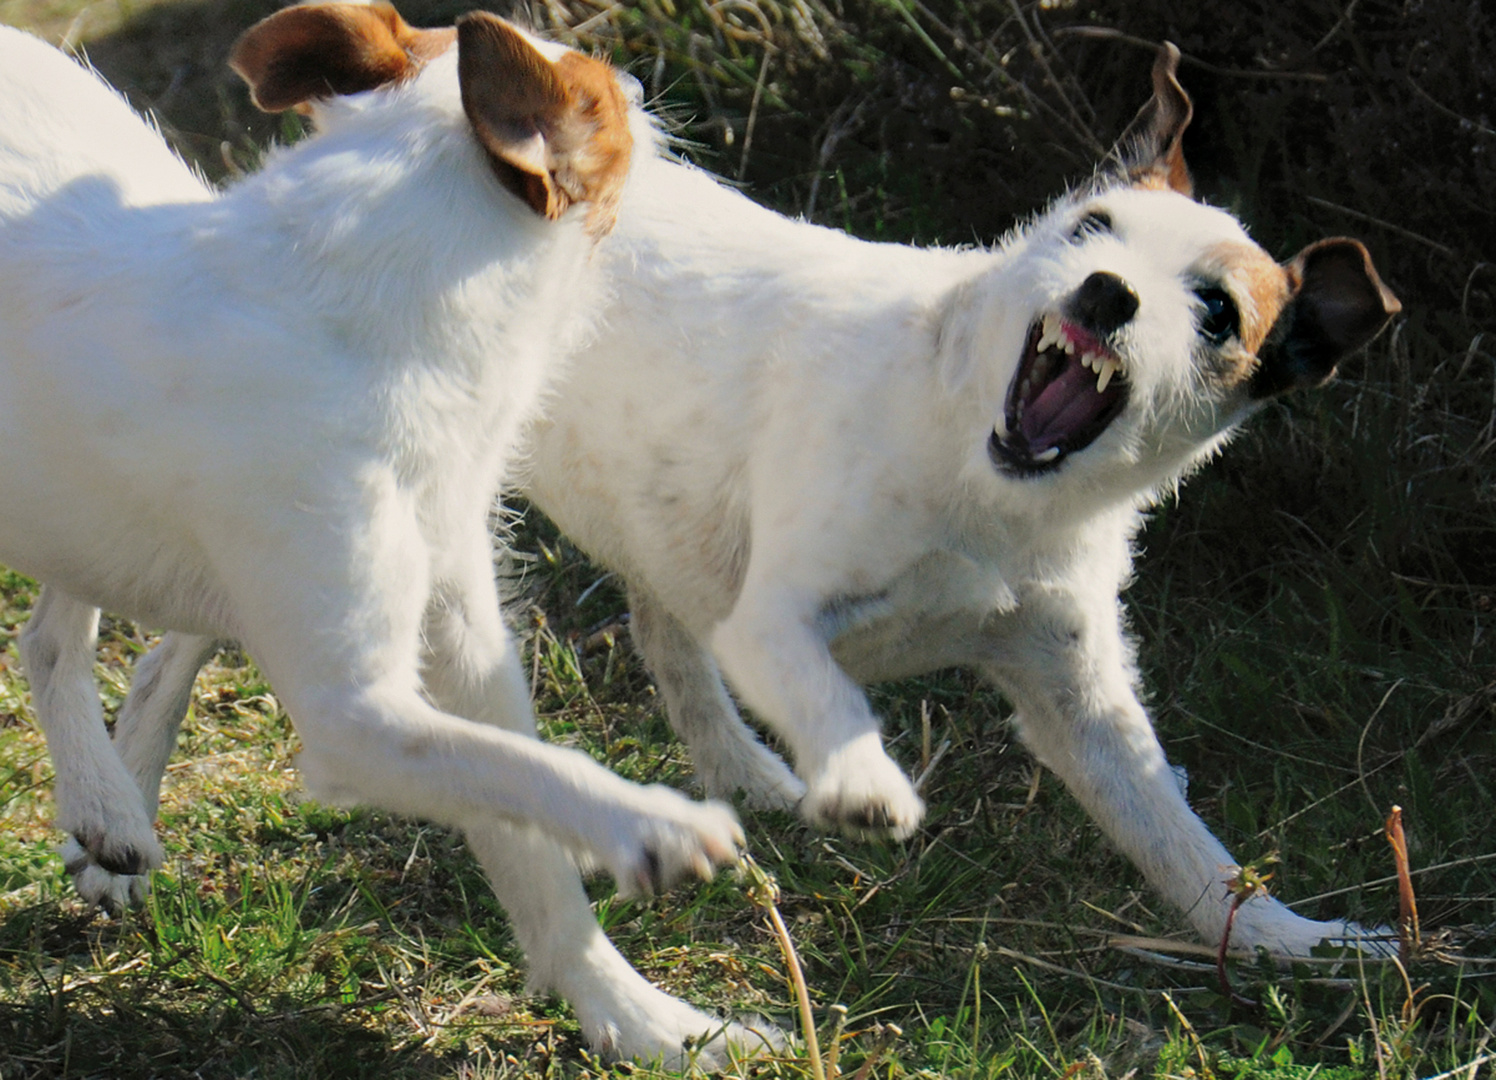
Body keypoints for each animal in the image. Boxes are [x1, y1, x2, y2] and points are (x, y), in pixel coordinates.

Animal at [2, 8, 771, 1065]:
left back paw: (105, 806)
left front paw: (640, 1020)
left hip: (75, 496)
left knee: (52, 631)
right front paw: (649, 824)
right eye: (605, 97)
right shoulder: (355, 720)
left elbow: (525, 832)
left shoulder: (462, 647)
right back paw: (102, 798)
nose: (651, 91)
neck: (353, 309)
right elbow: (539, 770)